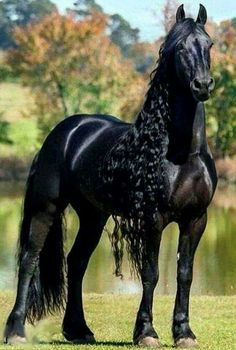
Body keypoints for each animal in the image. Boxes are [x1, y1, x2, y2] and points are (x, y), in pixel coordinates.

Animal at [4, 4, 218, 348]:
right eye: (179, 48)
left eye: (208, 44)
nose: (202, 85)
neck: (182, 154)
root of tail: (63, 132)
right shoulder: (153, 218)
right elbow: (151, 273)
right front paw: (146, 332)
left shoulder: (196, 218)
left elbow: (184, 273)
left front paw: (184, 332)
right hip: (45, 208)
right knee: (29, 259)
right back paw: (16, 330)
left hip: (93, 215)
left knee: (76, 262)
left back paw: (78, 329)